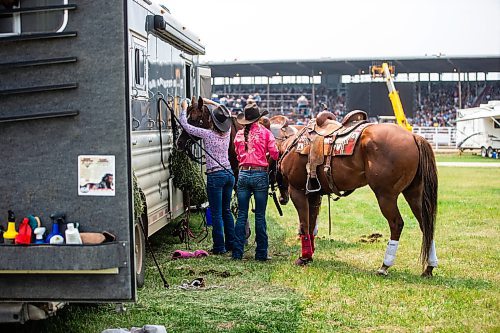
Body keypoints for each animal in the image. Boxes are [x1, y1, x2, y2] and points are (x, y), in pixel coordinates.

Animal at [270, 113, 438, 276]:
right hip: (414, 194)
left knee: (397, 224)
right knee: (425, 224)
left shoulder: (297, 191)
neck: (291, 146)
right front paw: (310, 254)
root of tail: (414, 136)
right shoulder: (314, 195)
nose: (282, 199)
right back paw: (429, 266)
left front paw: (304, 257)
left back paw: (384, 266)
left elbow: (304, 226)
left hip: (386, 195)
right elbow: (311, 226)